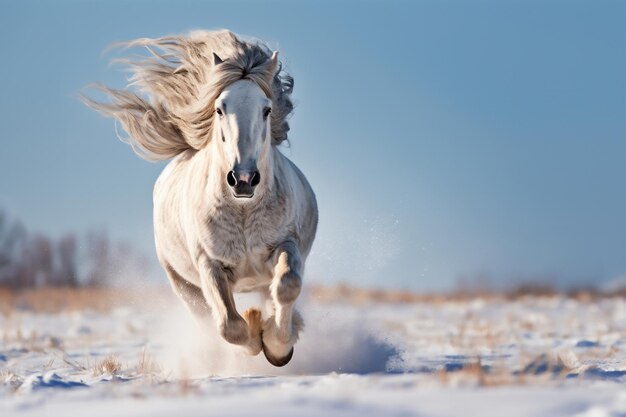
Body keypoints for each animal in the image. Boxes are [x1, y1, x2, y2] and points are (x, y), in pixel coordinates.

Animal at [83, 30, 316, 366]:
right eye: (220, 109)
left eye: (267, 109)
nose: (243, 179)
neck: (243, 210)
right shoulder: (210, 264)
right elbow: (229, 325)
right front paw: (254, 334)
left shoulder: (285, 244)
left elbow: (287, 286)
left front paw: (277, 345)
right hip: (181, 282)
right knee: (206, 318)